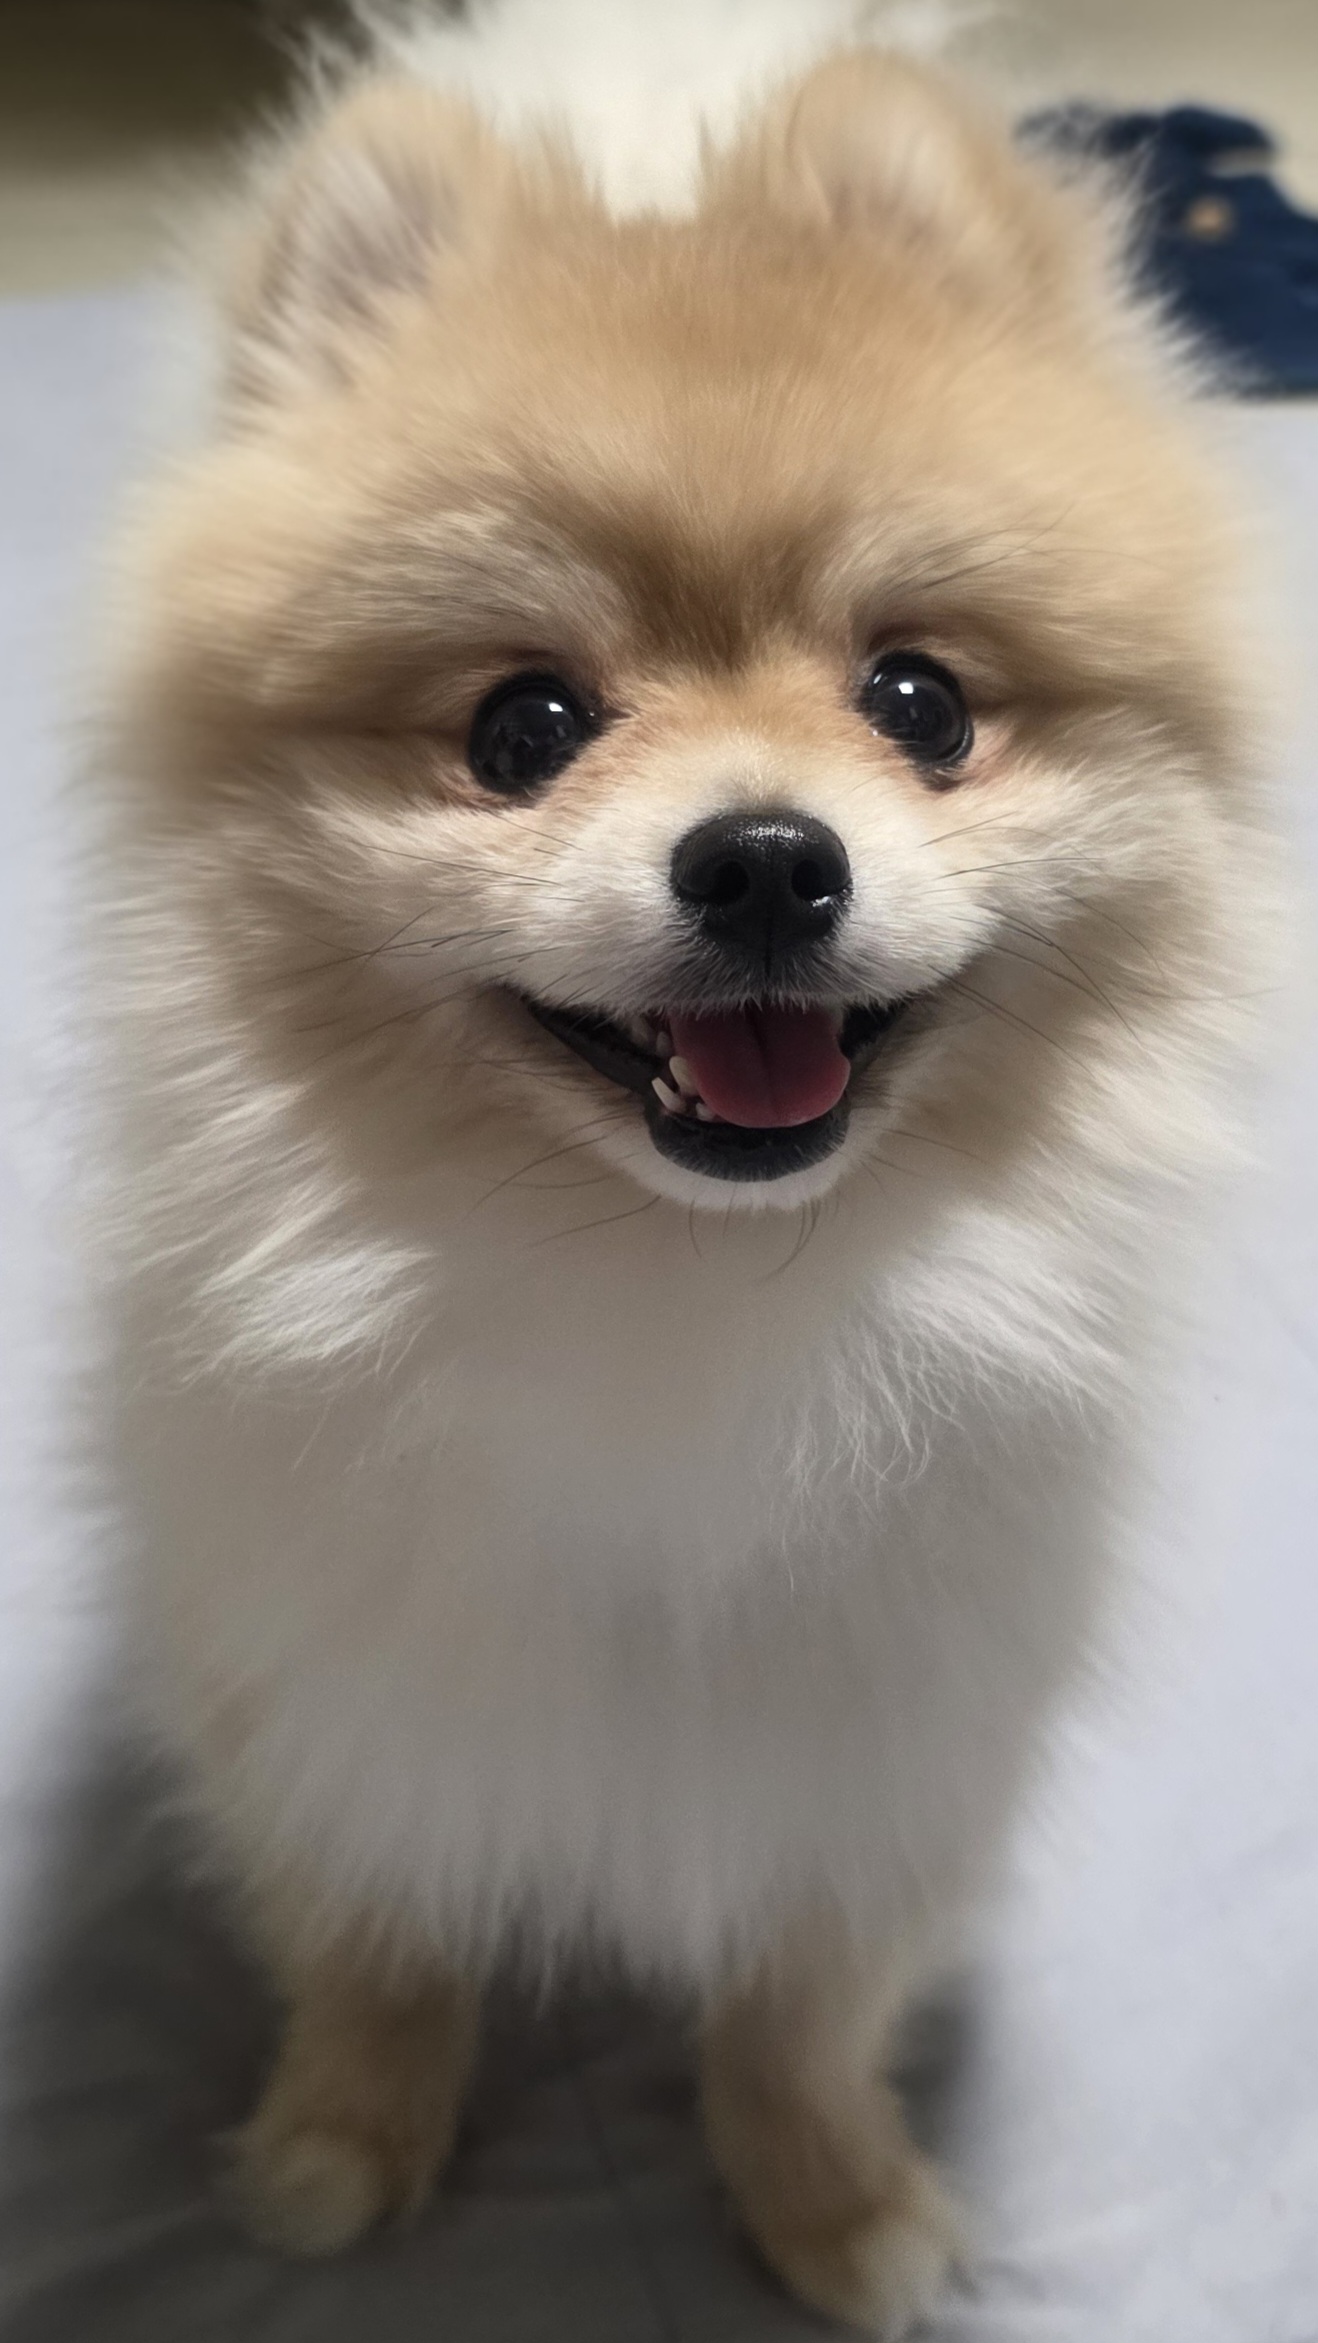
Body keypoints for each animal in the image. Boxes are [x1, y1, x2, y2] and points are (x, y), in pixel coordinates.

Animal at [91, 2, 1277, 2331]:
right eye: (520, 727)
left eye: (918, 701)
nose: (760, 857)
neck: (684, 1293)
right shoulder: (329, 1673)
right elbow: (375, 1930)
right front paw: (343, 2137)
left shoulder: (874, 1738)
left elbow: (797, 2007)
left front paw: (829, 2199)